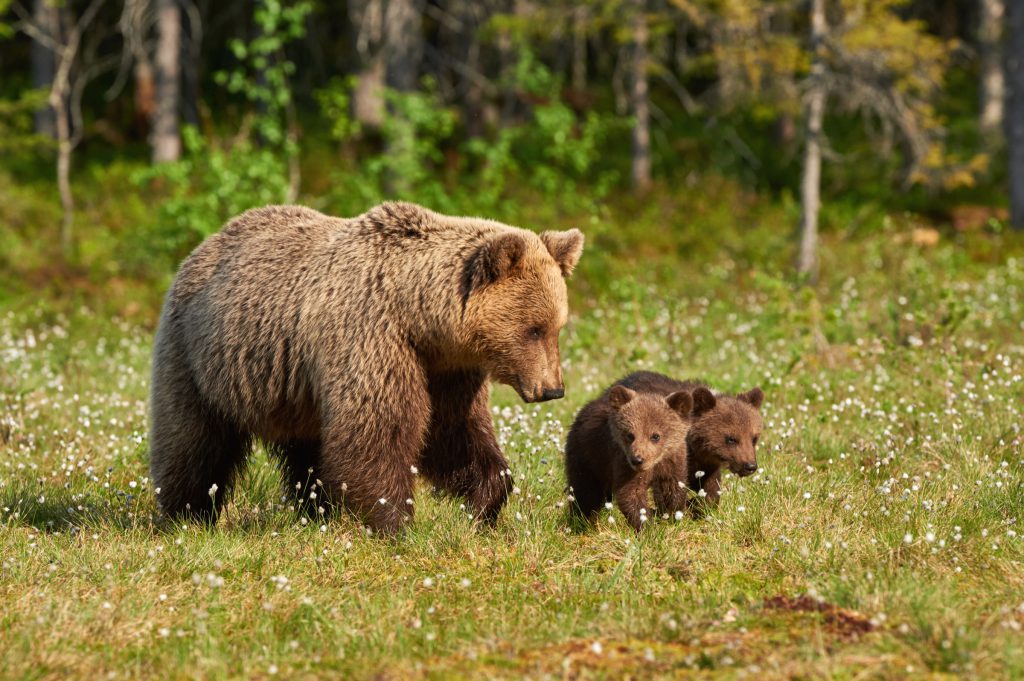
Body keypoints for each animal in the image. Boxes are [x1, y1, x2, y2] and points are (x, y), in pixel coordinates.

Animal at [148, 201, 584, 535]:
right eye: (533, 328)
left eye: (556, 327)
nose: (552, 389)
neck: (418, 316)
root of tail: (205, 244)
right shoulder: (370, 336)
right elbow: (377, 430)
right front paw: (395, 521)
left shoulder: (446, 369)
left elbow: (453, 433)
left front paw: (486, 504)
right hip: (200, 357)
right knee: (194, 441)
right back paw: (186, 516)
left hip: (294, 390)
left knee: (307, 451)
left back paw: (314, 511)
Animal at [564, 379, 693, 531]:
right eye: (630, 435)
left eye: (655, 436)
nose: (637, 459)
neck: (655, 463)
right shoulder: (622, 461)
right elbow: (631, 493)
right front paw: (646, 526)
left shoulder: (672, 460)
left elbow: (672, 487)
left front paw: (672, 517)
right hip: (587, 457)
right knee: (585, 492)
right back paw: (582, 522)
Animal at [617, 371, 764, 513]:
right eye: (731, 439)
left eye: (754, 438)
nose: (750, 466)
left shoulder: (706, 465)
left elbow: (711, 489)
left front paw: (699, 505)